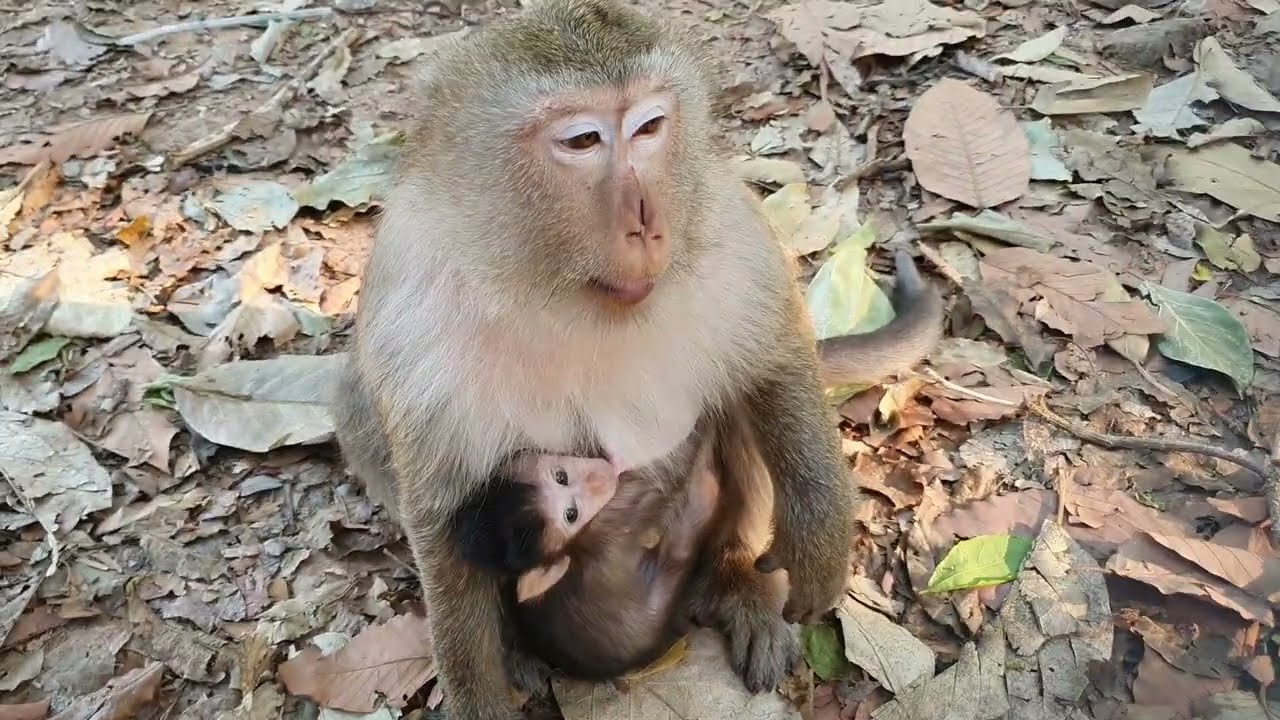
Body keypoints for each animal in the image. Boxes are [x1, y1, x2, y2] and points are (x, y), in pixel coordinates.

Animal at [331, 1, 945, 717]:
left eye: (649, 128)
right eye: (582, 141)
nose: (647, 222)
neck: (559, 287)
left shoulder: (725, 223)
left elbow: (774, 359)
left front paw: (818, 532)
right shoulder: (416, 317)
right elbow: (443, 516)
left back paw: (733, 575)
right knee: (356, 412)